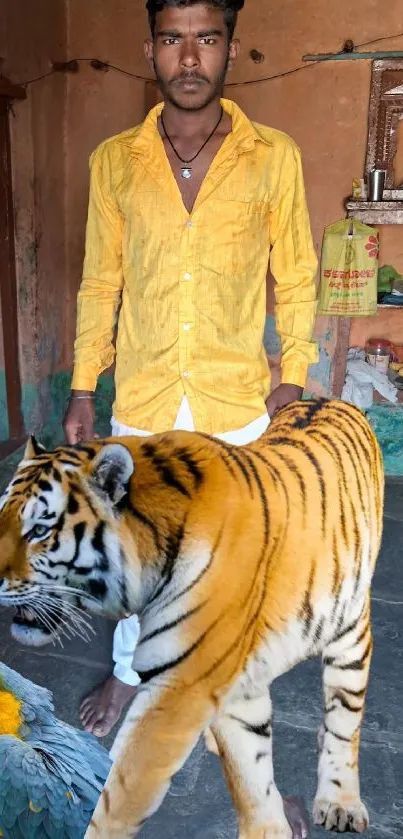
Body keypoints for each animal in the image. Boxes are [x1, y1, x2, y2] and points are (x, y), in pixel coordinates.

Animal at [0, 400, 386, 839]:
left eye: (39, 530)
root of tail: (333, 401)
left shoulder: (183, 687)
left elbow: (120, 795)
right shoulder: (227, 686)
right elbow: (250, 779)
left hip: (350, 633)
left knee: (344, 722)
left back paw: (340, 802)